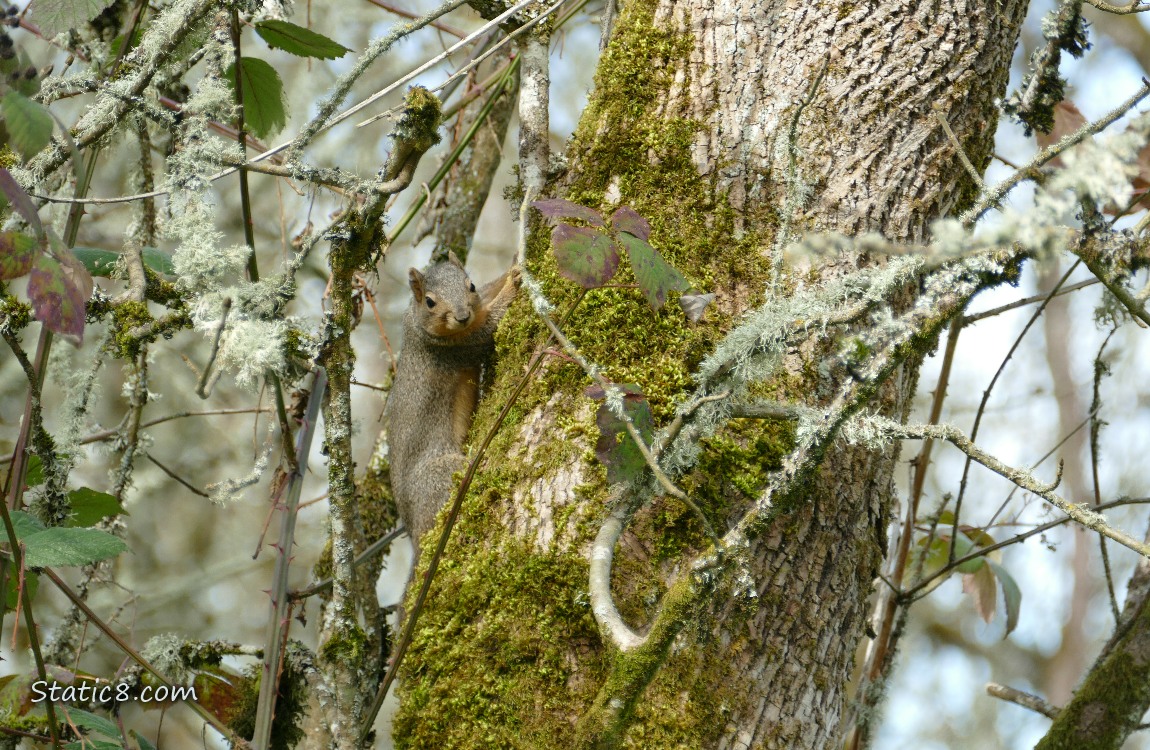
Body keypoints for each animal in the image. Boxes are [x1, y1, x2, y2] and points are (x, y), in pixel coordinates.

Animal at [387, 251, 521, 567]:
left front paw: (510, 268)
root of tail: (415, 536)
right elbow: (491, 326)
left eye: (470, 285)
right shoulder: (453, 347)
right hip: (441, 474)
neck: (417, 324)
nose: (462, 316)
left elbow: (488, 295)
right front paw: (512, 284)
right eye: (430, 302)